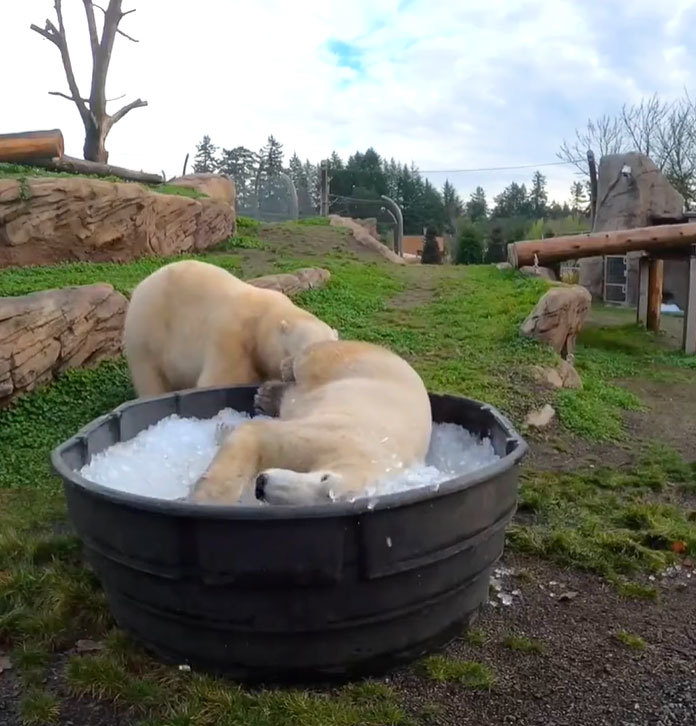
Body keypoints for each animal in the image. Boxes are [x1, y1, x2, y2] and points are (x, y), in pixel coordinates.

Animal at [123, 260, 340, 398]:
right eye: (303, 351)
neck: (264, 316)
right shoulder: (232, 336)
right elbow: (221, 378)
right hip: (147, 331)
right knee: (150, 376)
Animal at [188, 340, 432, 506]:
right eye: (324, 479)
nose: (261, 485)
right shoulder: (338, 437)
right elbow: (261, 435)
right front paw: (206, 500)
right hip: (348, 360)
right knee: (310, 359)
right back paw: (284, 371)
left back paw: (267, 397)